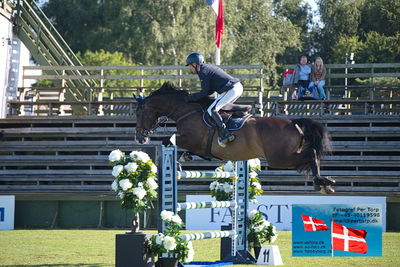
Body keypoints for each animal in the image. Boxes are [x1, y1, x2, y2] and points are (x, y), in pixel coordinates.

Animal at [134, 82, 334, 194]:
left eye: (139, 113)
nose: (139, 139)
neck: (186, 110)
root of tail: (293, 122)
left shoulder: (192, 139)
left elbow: (168, 140)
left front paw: (178, 163)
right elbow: (180, 147)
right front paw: (185, 157)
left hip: (279, 158)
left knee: (311, 154)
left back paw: (321, 181)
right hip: (284, 156)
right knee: (311, 155)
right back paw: (324, 182)